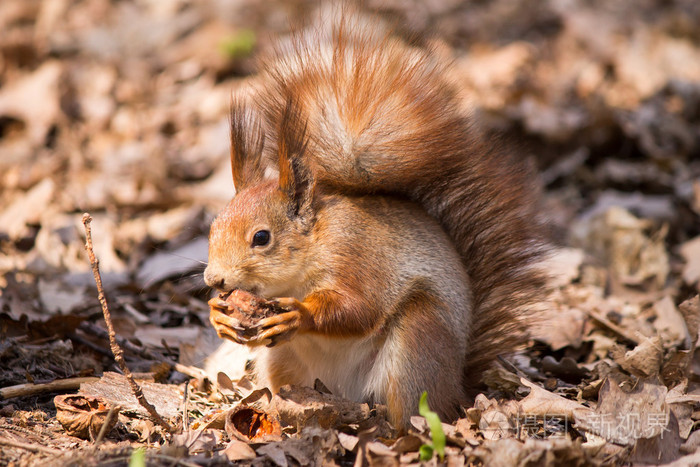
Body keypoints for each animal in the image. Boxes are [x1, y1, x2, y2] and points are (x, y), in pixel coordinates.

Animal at [205, 17, 548, 428]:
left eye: (261, 237)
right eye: (212, 228)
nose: (213, 279)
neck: (311, 248)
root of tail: (458, 388)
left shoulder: (357, 257)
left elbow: (359, 309)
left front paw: (300, 314)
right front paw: (218, 317)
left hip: (417, 345)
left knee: (414, 410)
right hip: (283, 363)